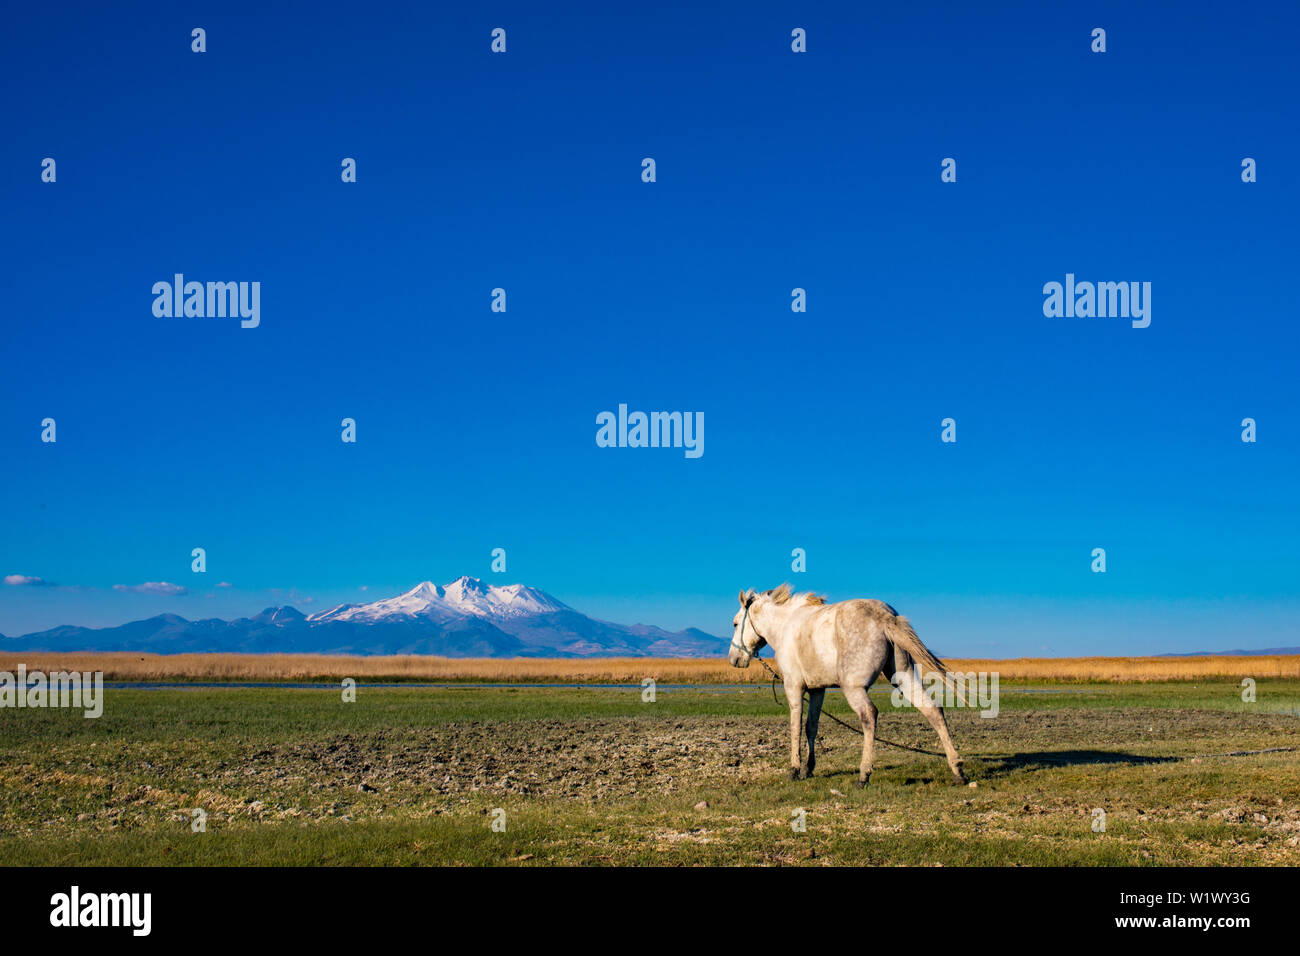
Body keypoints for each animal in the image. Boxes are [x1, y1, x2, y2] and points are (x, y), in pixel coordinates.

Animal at [733, 587, 967, 790]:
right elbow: (811, 726)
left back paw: (864, 775)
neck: (786, 625)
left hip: (853, 688)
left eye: (735, 624)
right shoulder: (818, 690)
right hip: (905, 678)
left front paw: (794, 769)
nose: (734, 659)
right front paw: (808, 769)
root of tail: (885, 616)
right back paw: (957, 770)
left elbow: (795, 726)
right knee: (933, 710)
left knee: (869, 715)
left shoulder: (794, 686)